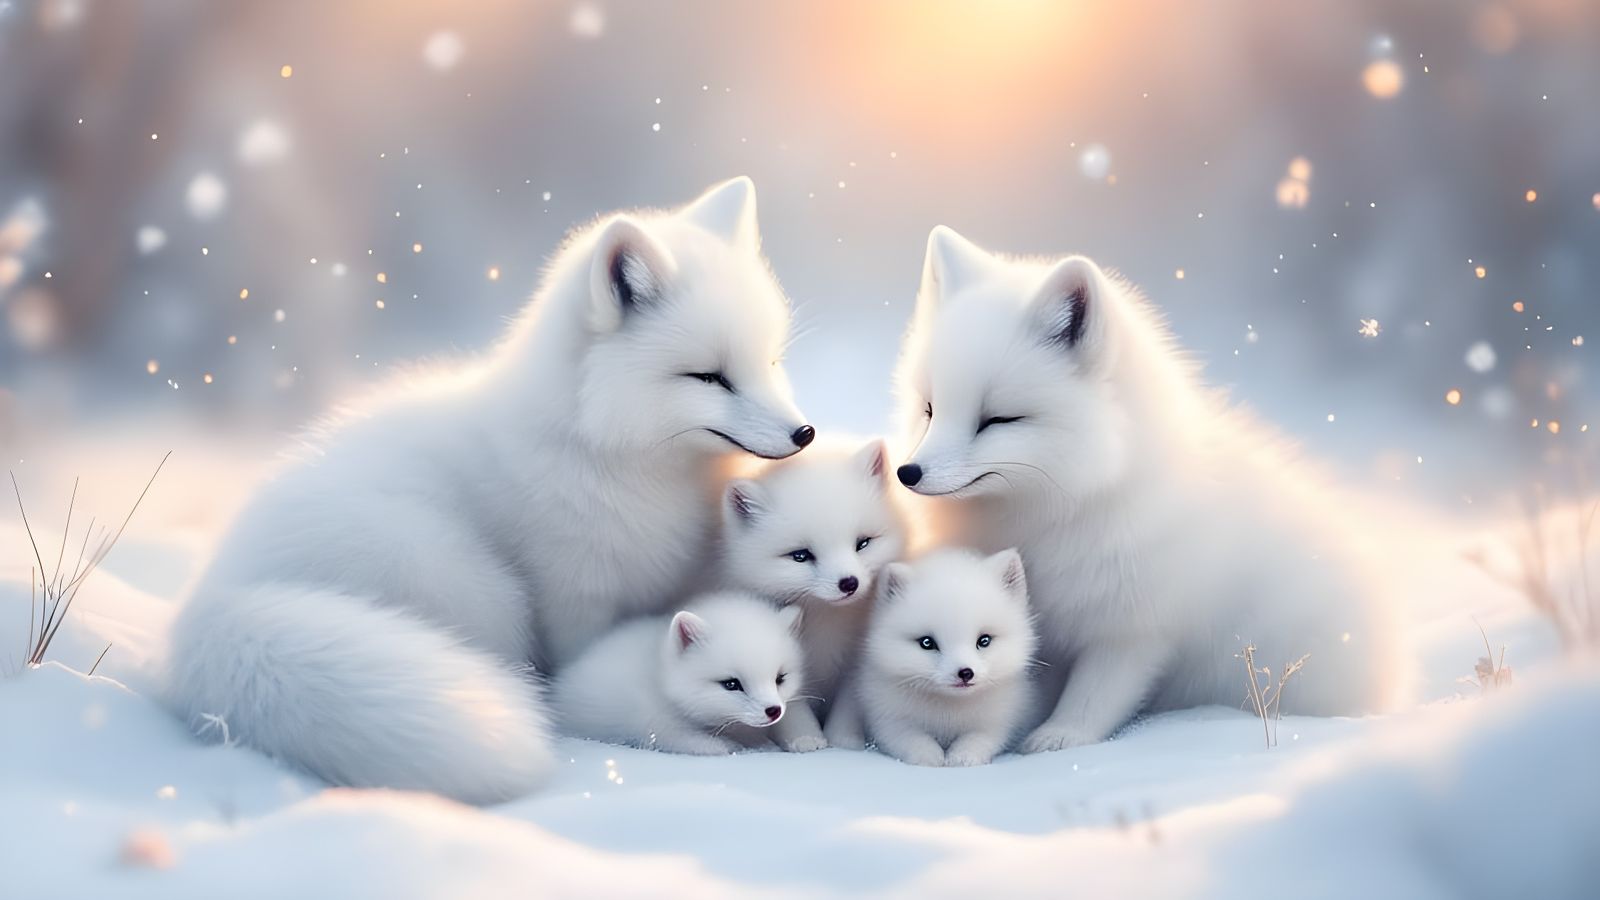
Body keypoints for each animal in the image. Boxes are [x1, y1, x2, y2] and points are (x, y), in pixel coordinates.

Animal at [550, 591, 806, 754]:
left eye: (780, 678)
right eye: (731, 684)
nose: (774, 711)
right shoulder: (653, 725)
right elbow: (689, 741)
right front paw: (726, 746)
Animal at [718, 437, 909, 751]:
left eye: (863, 543)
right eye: (800, 555)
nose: (849, 583)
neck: (825, 624)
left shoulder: (856, 663)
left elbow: (850, 705)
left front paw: (844, 740)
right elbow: (790, 704)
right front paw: (806, 739)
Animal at [824, 548, 1038, 767]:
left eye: (984, 640)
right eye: (927, 643)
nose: (965, 673)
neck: (948, 710)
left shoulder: (999, 721)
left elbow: (978, 738)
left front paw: (961, 758)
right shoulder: (888, 720)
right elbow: (912, 739)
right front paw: (931, 758)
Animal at [890, 226, 1409, 754]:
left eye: (998, 420)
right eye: (930, 409)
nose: (907, 473)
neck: (1051, 512)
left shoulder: (1134, 630)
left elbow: (1093, 699)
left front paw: (1057, 738)